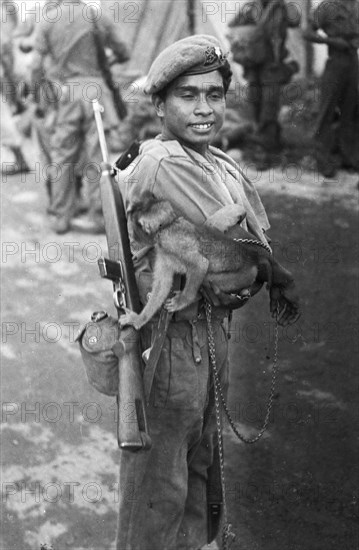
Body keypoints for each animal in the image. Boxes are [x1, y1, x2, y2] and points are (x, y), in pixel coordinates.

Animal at [120, 194, 298, 332]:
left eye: (134, 226)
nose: (131, 235)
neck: (167, 226)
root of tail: (251, 257)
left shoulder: (170, 242)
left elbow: (200, 264)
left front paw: (182, 301)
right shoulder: (164, 252)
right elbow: (162, 286)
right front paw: (137, 320)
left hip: (243, 276)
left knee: (207, 277)